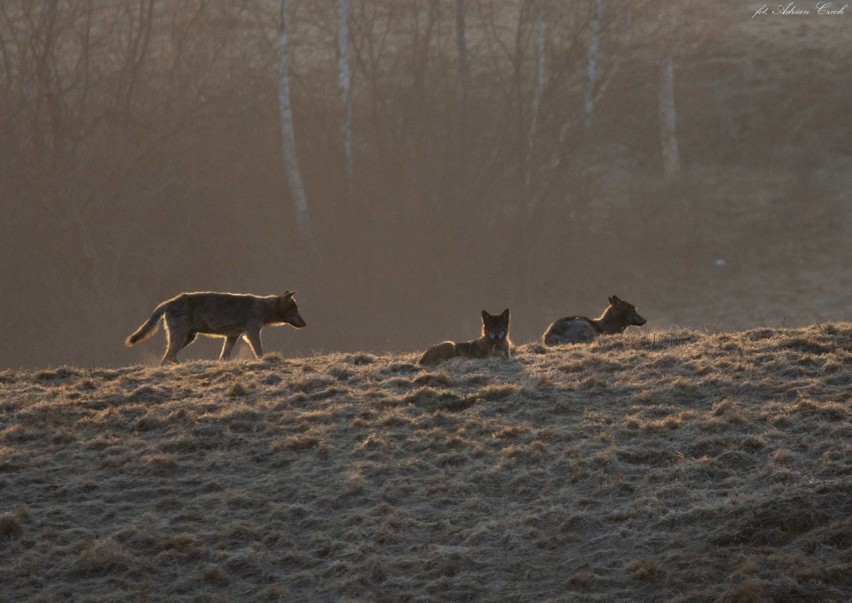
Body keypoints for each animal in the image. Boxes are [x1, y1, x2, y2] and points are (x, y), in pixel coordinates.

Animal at [126, 292, 306, 366]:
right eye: (296, 310)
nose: (305, 324)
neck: (263, 308)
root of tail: (167, 302)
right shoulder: (252, 333)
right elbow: (259, 351)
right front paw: (264, 361)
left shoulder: (232, 336)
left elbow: (224, 356)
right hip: (182, 338)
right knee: (165, 358)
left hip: (189, 338)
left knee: (171, 356)